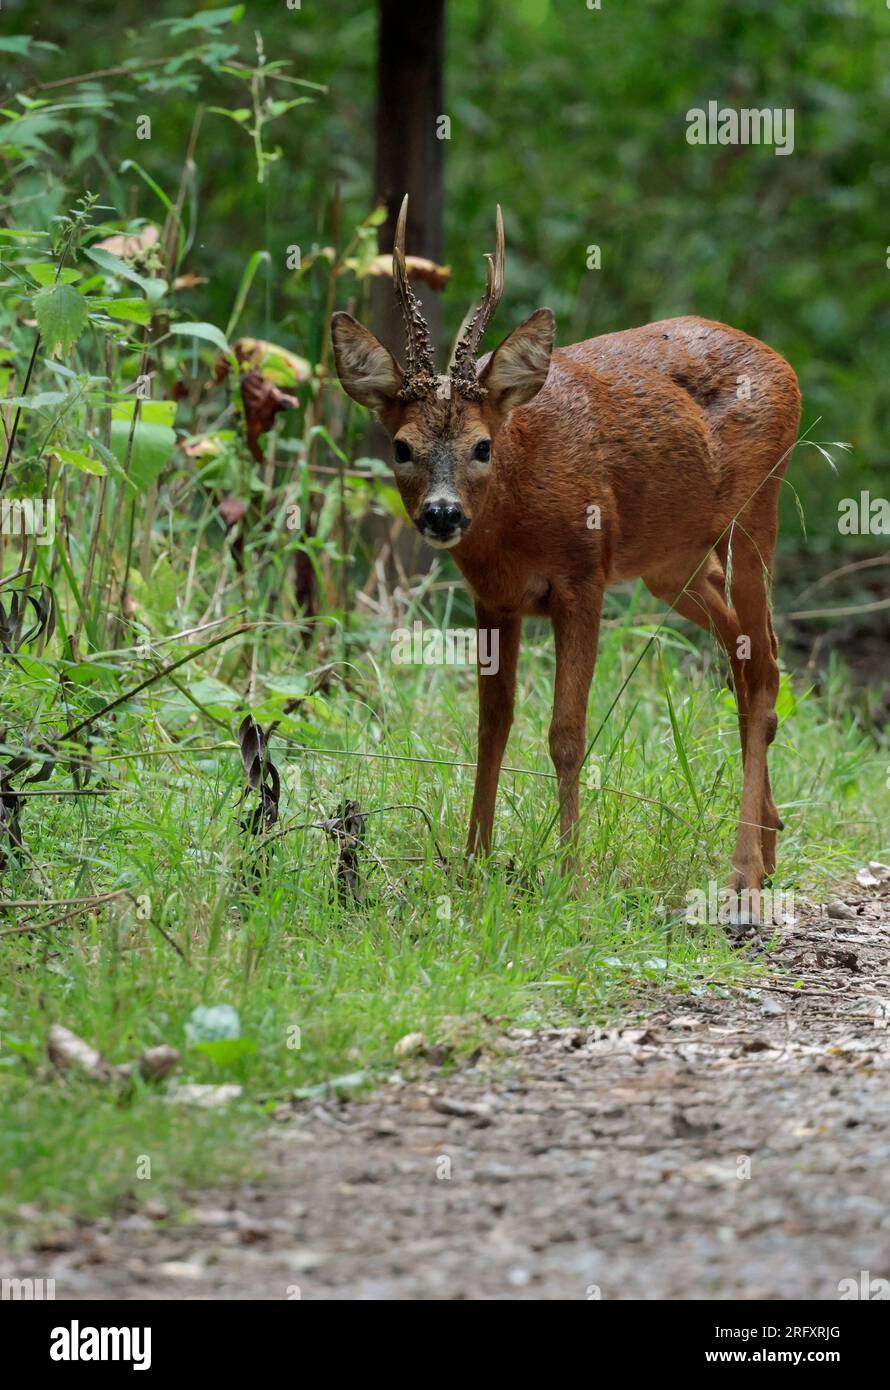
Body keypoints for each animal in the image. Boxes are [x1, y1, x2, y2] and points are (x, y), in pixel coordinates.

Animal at [332, 201, 801, 906]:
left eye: (482, 446)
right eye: (401, 447)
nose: (442, 514)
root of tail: (786, 366)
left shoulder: (583, 577)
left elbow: (566, 735)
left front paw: (571, 875)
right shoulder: (493, 598)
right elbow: (491, 725)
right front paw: (474, 861)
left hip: (757, 509)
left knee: (767, 669)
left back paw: (743, 872)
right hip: (674, 564)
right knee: (748, 661)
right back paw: (768, 848)